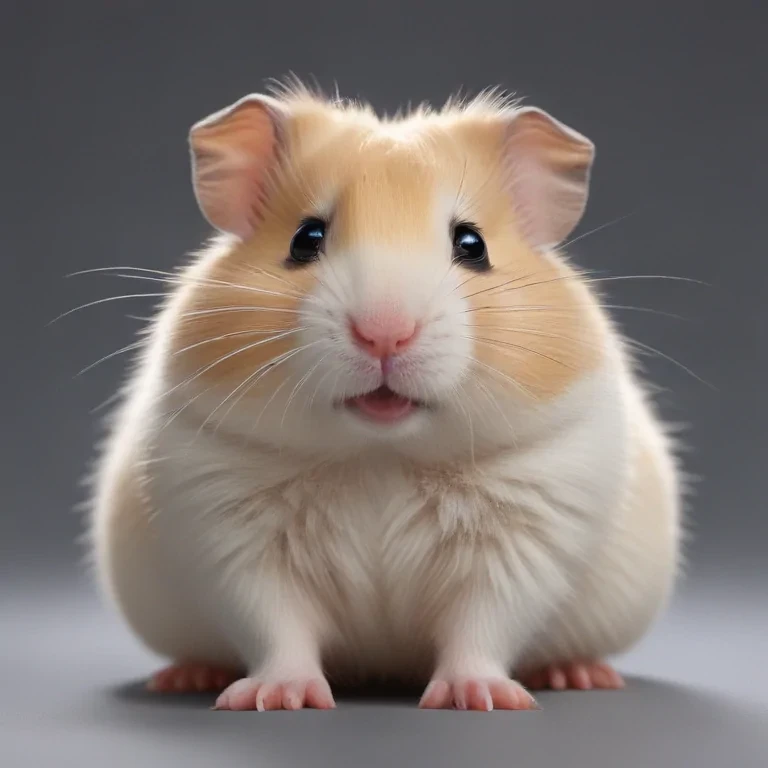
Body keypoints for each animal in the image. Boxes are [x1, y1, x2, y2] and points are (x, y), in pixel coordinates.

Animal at [89, 81, 682, 711]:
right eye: (306, 239)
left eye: (472, 244)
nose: (384, 333)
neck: (380, 455)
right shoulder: (234, 538)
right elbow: (277, 626)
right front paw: (275, 697)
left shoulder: (523, 541)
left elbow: (481, 626)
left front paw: (479, 698)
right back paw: (188, 676)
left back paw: (580, 673)